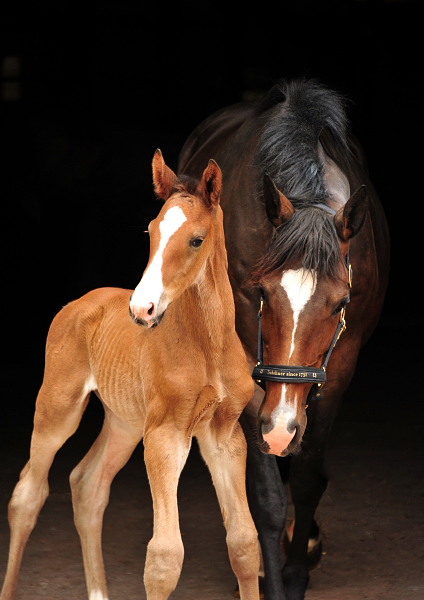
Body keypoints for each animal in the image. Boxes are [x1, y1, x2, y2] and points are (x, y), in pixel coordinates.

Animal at [0, 152, 260, 600]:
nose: (142, 309)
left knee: (87, 486)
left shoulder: (224, 434)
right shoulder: (167, 433)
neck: (209, 346)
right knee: (27, 495)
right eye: (152, 231)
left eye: (196, 239)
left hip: (125, 422)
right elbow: (164, 558)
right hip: (58, 407)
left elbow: (244, 544)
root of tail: (79, 302)